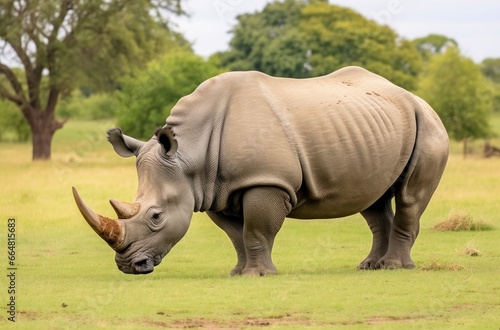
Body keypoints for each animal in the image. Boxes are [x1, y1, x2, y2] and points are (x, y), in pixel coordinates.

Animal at [71, 65, 450, 274]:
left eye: (155, 216)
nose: (129, 267)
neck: (189, 156)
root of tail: (417, 98)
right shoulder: (213, 189)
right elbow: (237, 235)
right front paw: (239, 272)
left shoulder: (265, 181)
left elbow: (256, 230)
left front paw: (259, 275)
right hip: (378, 128)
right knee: (373, 200)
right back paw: (369, 267)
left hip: (429, 127)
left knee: (409, 198)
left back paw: (394, 267)